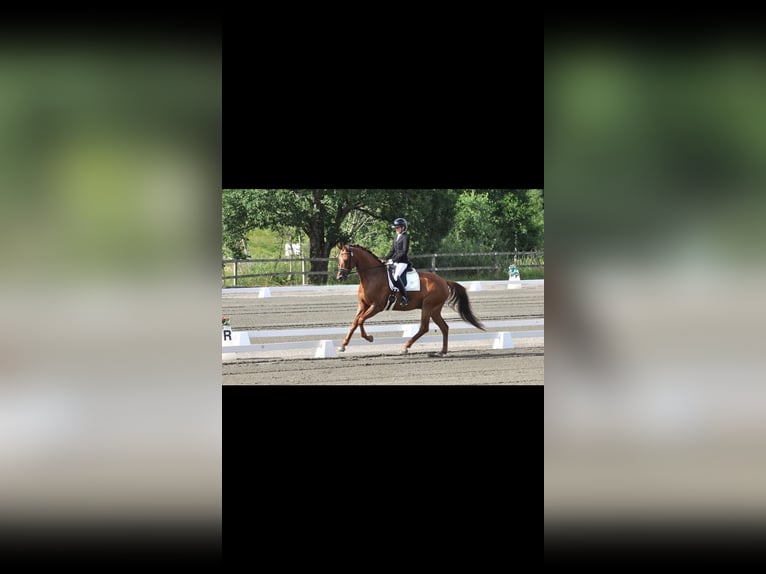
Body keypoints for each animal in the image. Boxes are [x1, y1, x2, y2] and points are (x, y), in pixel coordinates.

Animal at [336, 243, 486, 356]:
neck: (372, 275)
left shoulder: (376, 306)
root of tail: (444, 281)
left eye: (346, 259)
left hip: (428, 307)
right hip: (434, 310)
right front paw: (342, 345)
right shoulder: (363, 305)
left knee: (424, 328)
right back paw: (442, 351)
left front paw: (369, 338)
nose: (340, 277)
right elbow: (354, 322)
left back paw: (405, 347)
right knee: (444, 327)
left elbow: (360, 320)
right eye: (338, 259)